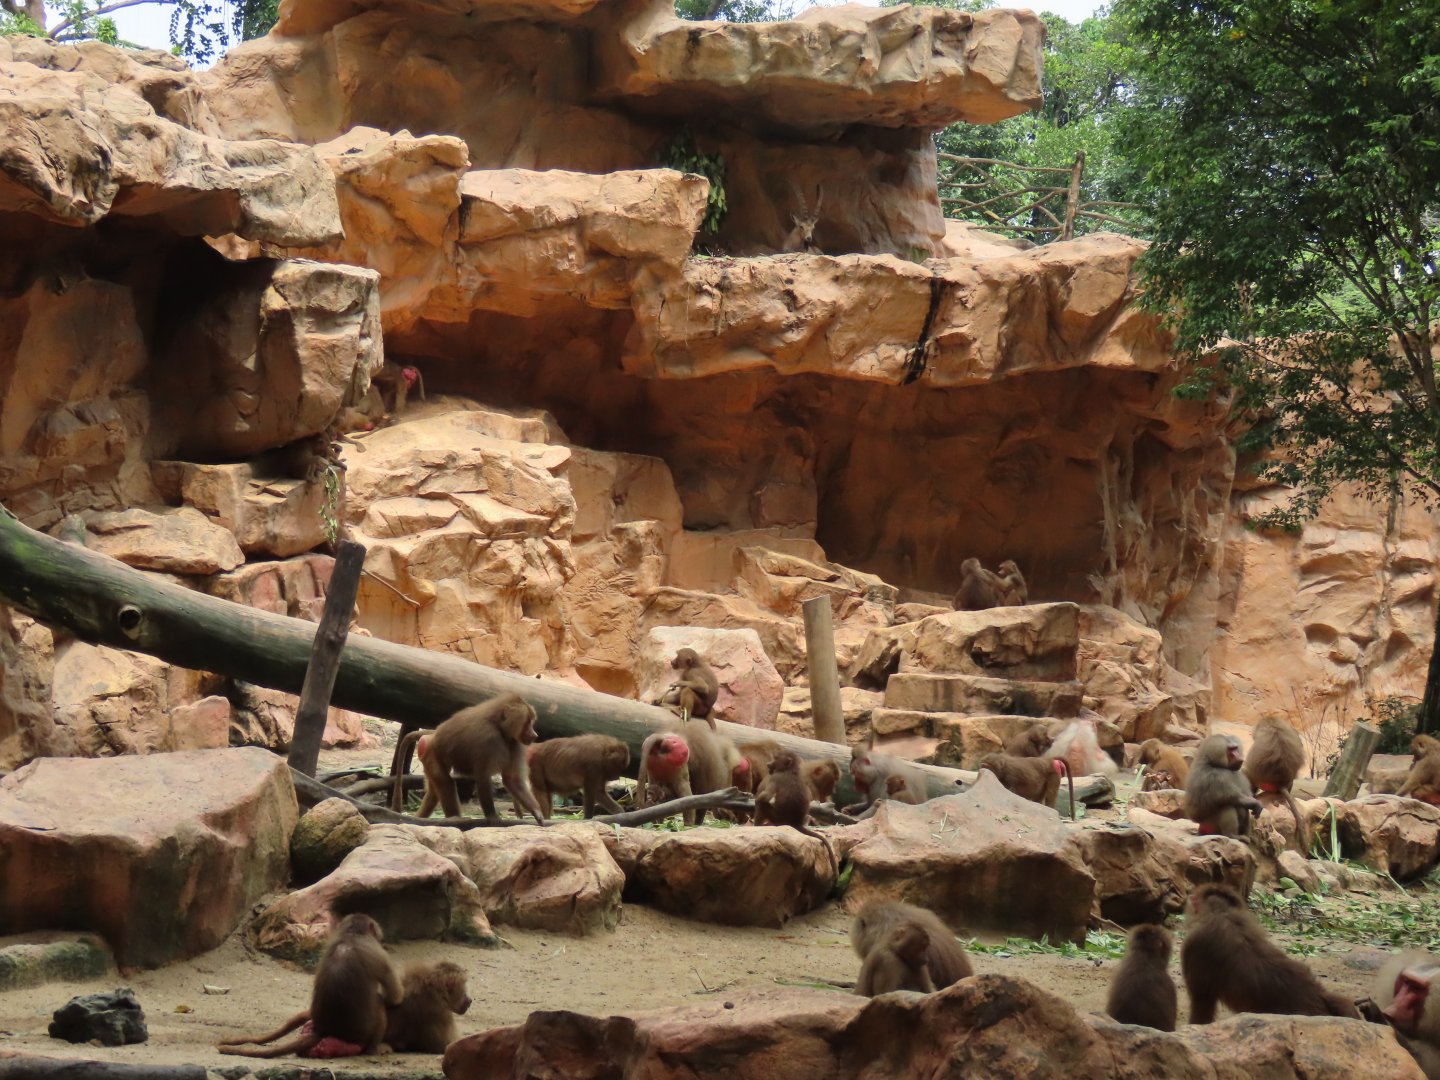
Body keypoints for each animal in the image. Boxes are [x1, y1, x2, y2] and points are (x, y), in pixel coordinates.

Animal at [218, 913, 402, 1058]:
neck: (351, 936)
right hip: (360, 1034)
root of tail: (326, 1029)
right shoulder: (380, 955)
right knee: (380, 1005)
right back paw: (374, 1050)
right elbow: (394, 997)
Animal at [403, 693, 547, 825]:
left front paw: (537, 812)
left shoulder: (515, 743)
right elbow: (483, 777)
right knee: (445, 783)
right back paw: (455, 818)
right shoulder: (488, 739)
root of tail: (431, 736)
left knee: (434, 791)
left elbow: (512, 779)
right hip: (431, 752)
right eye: (527, 722)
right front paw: (492, 816)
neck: (499, 727)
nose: (535, 735)